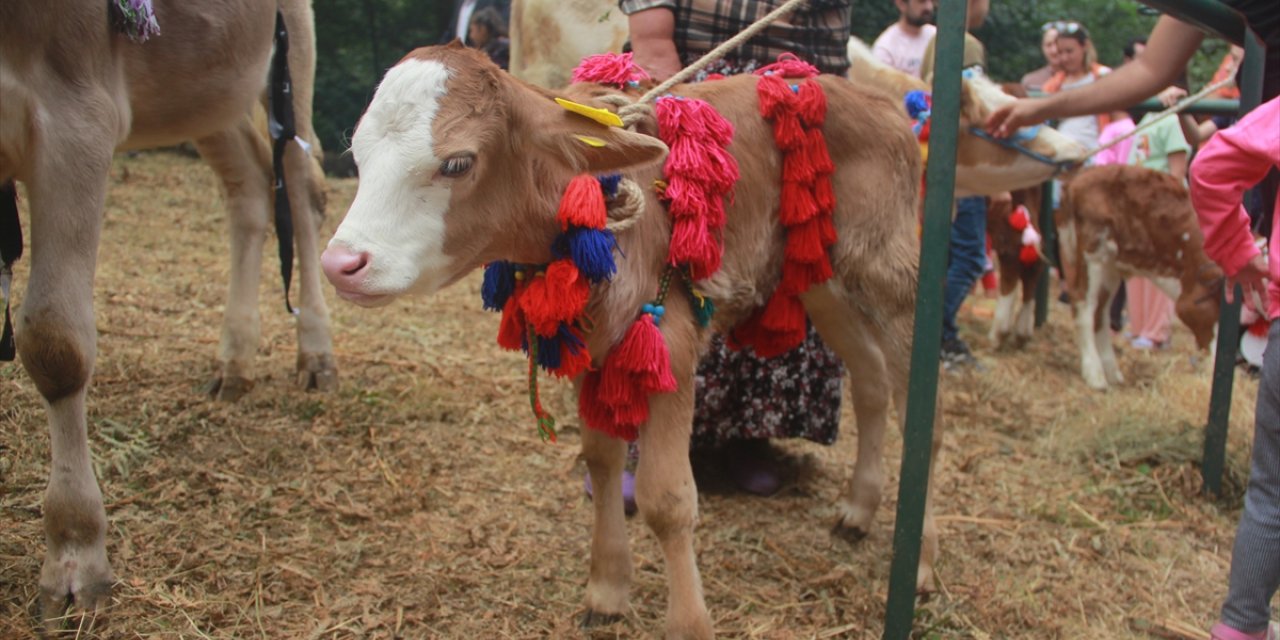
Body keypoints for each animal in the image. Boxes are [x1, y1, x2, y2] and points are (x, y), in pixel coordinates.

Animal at [0, 0, 335, 627]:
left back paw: (316, 353)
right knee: (251, 186)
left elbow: (56, 342)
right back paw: (235, 362)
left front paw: (75, 556)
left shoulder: (74, 111)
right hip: (208, 90)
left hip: (290, 62)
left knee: (300, 188)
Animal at [322, 42, 931, 637]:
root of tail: (882, 104)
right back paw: (858, 510)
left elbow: (667, 499)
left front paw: (689, 625)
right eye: (358, 155)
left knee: (917, 404)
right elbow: (601, 459)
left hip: (889, 267)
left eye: (457, 162)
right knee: (871, 378)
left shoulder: (671, 345)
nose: (341, 264)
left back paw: (919, 564)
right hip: (819, 274)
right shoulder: (592, 346)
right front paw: (609, 587)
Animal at [1054, 163, 1223, 389]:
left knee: (1101, 310)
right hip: (1094, 252)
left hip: (1110, 265)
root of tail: (1079, 178)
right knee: (1083, 303)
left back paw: (1112, 372)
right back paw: (1095, 374)